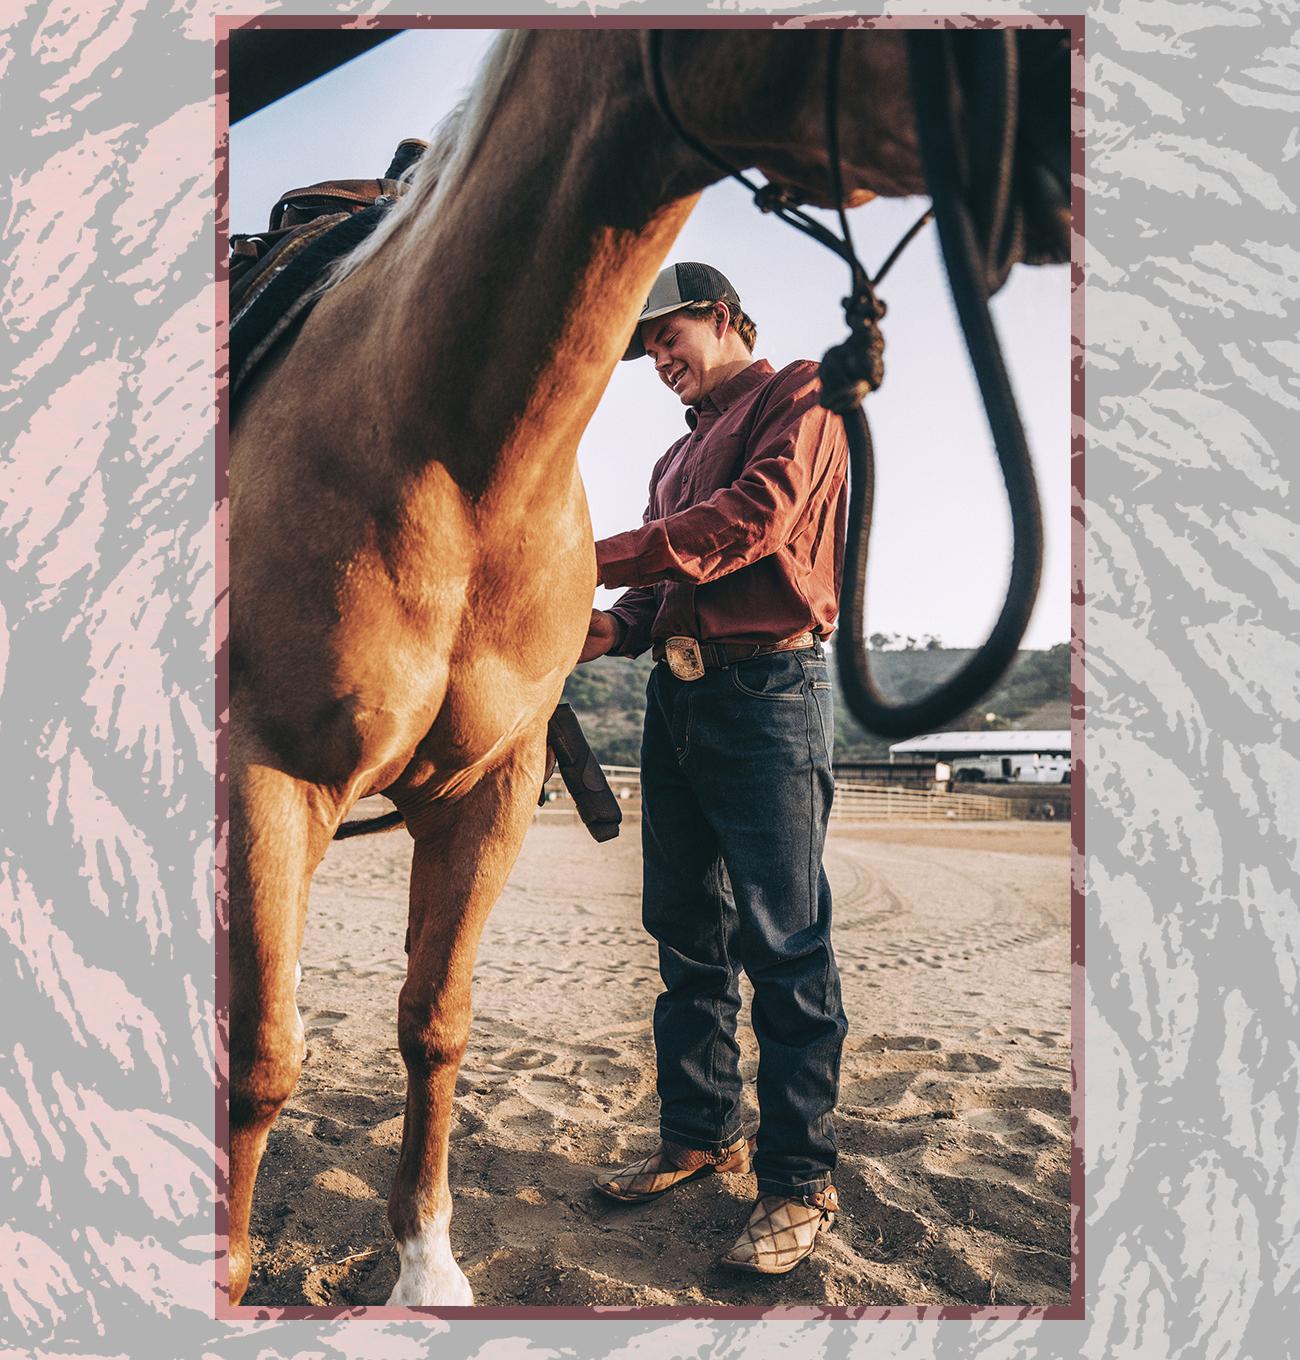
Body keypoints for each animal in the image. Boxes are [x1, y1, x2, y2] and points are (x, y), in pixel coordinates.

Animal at [231, 26, 1066, 1305]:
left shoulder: (485, 797)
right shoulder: (267, 776)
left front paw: (424, 1266)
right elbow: (264, 1059)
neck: (453, 456)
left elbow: (436, 1022)